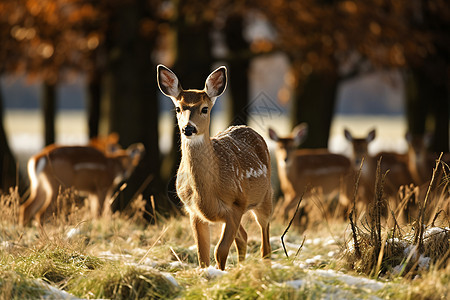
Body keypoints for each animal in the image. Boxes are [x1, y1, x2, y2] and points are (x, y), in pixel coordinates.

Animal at [156, 63, 272, 270]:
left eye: (204, 109)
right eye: (178, 108)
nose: (188, 128)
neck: (208, 192)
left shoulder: (236, 205)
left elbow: (220, 251)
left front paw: (220, 273)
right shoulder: (193, 212)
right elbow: (203, 255)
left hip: (265, 197)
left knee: (265, 243)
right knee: (243, 237)